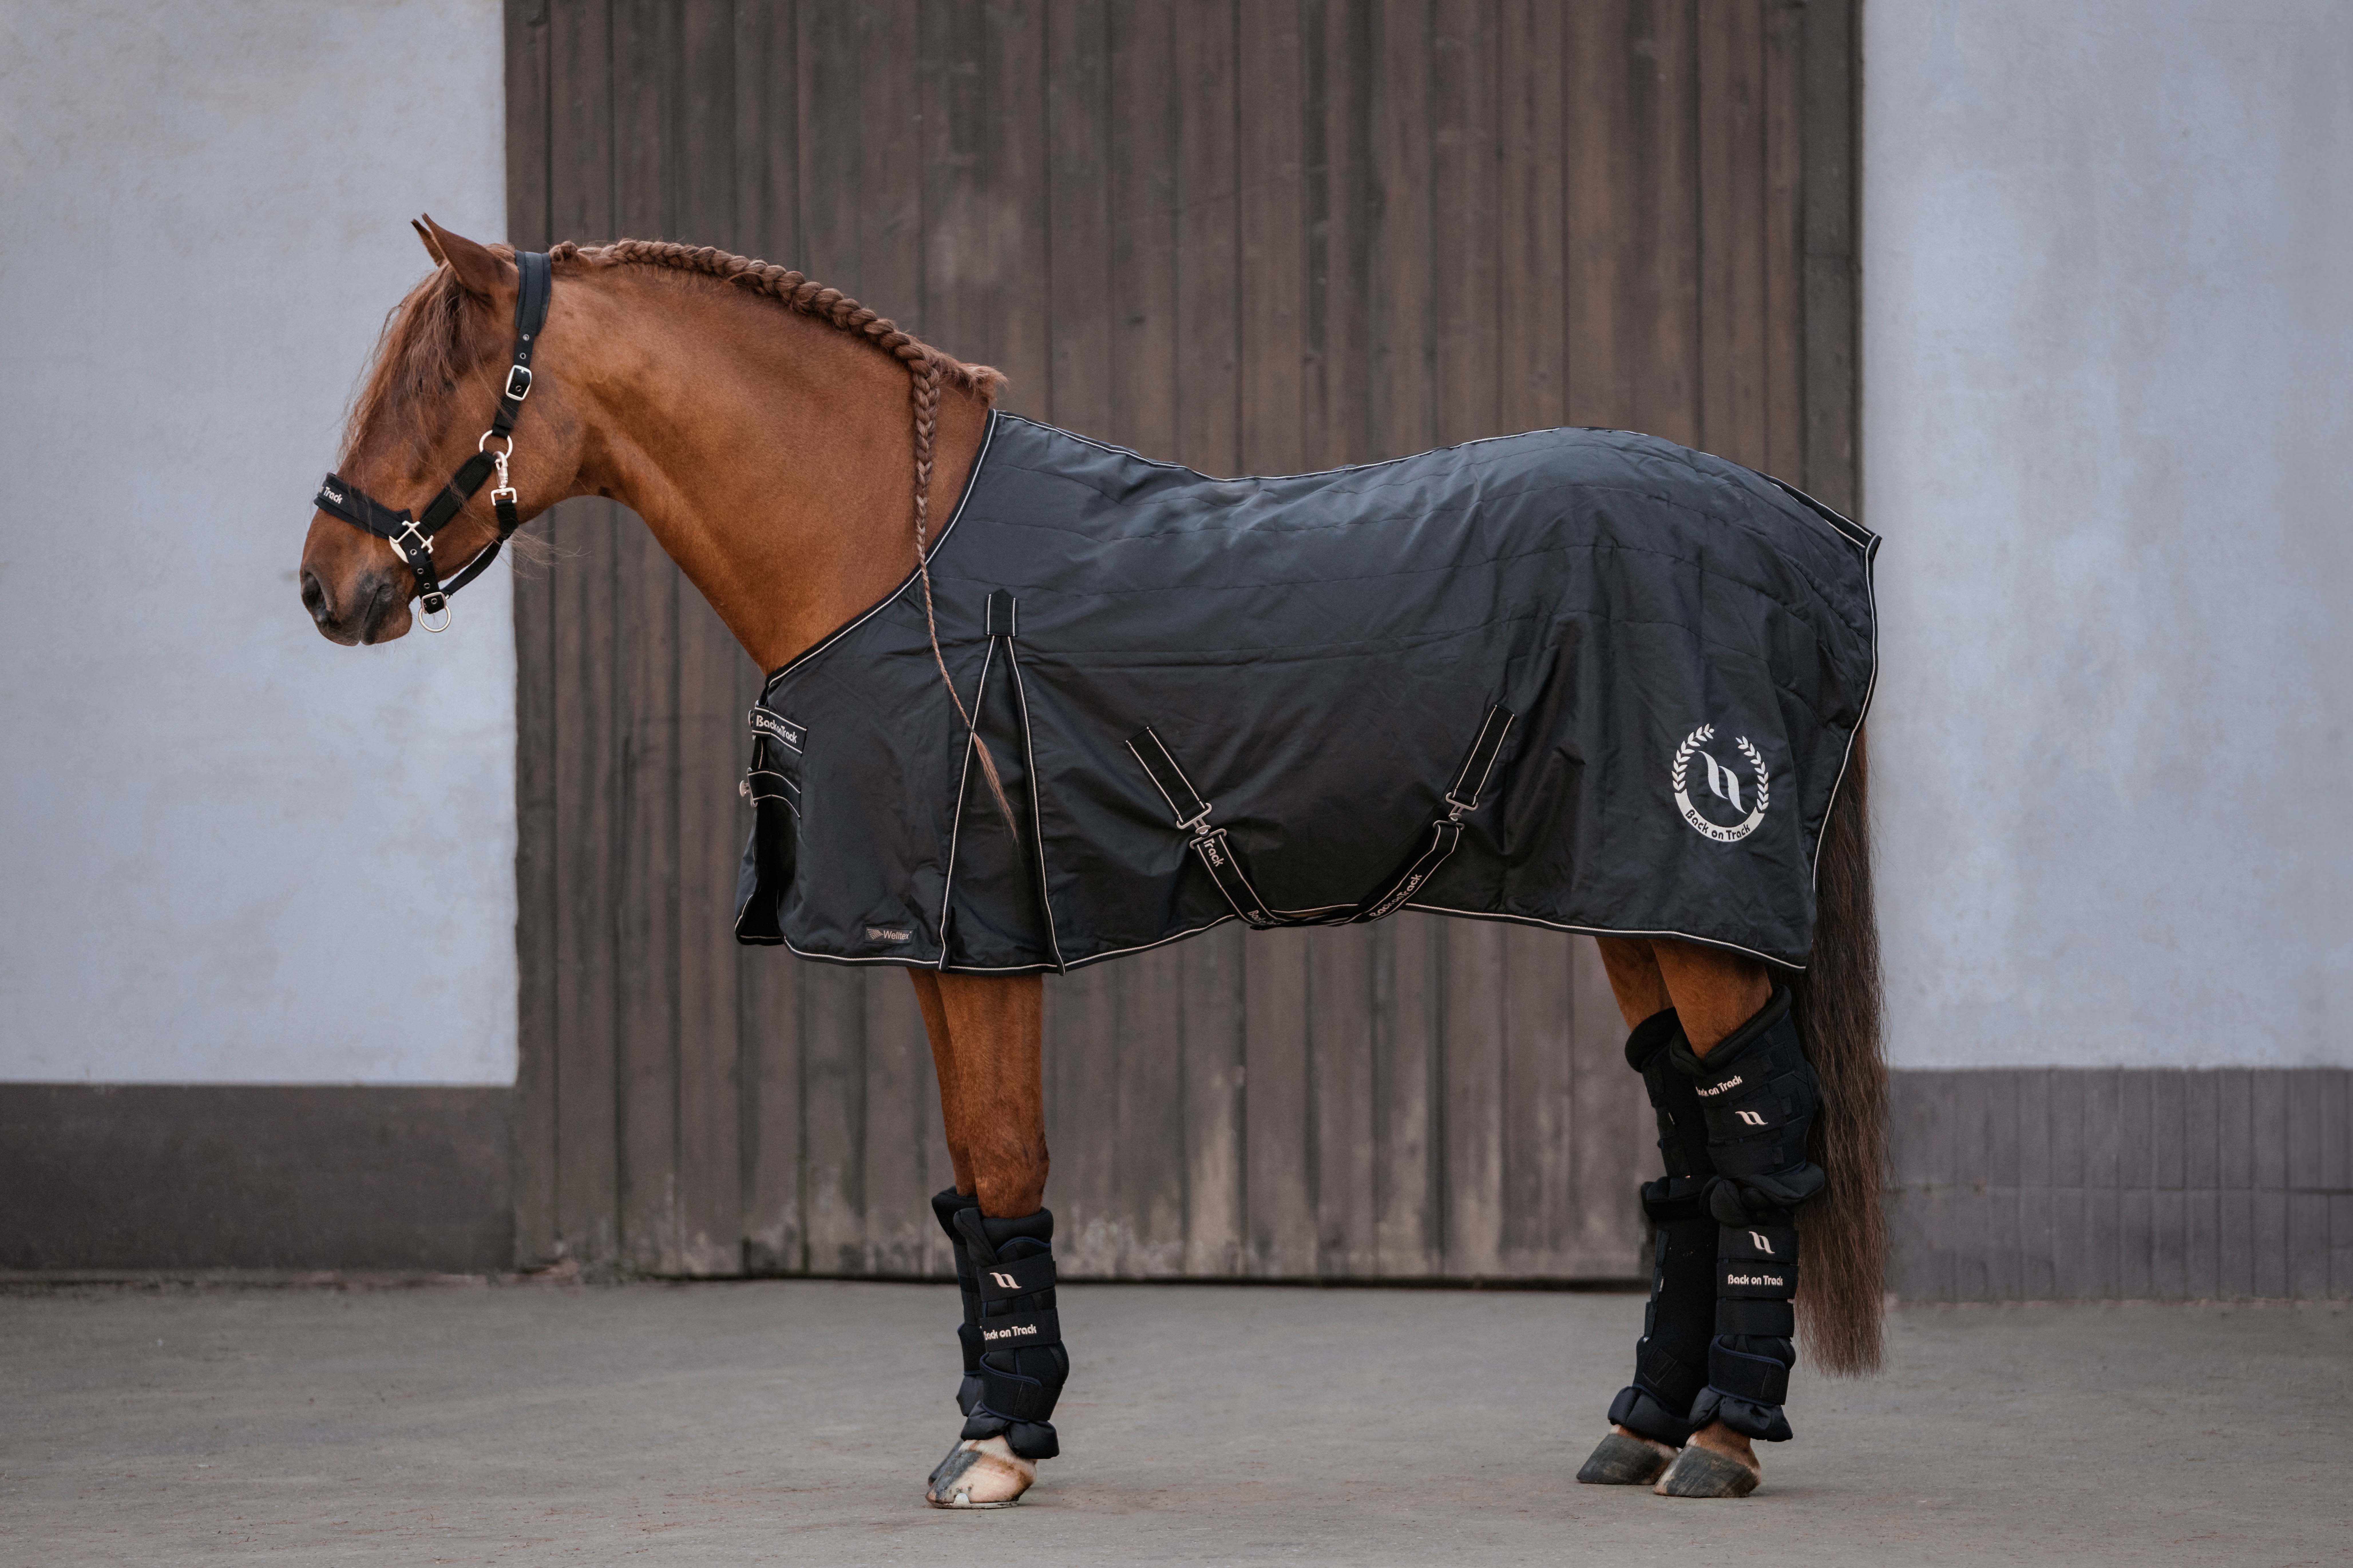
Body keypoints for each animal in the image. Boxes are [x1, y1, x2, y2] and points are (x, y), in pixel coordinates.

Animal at [300, 219, 1888, 1508]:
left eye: (435, 381)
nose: (327, 587)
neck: (885, 553)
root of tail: (1807, 534)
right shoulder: (934, 939)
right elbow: (971, 1179)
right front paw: (994, 1415)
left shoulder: (979, 937)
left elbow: (1006, 1154)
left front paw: (995, 1443)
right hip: (1633, 896)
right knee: (1690, 1139)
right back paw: (1640, 1424)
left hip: (1697, 892)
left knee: (1755, 1144)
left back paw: (1721, 1439)